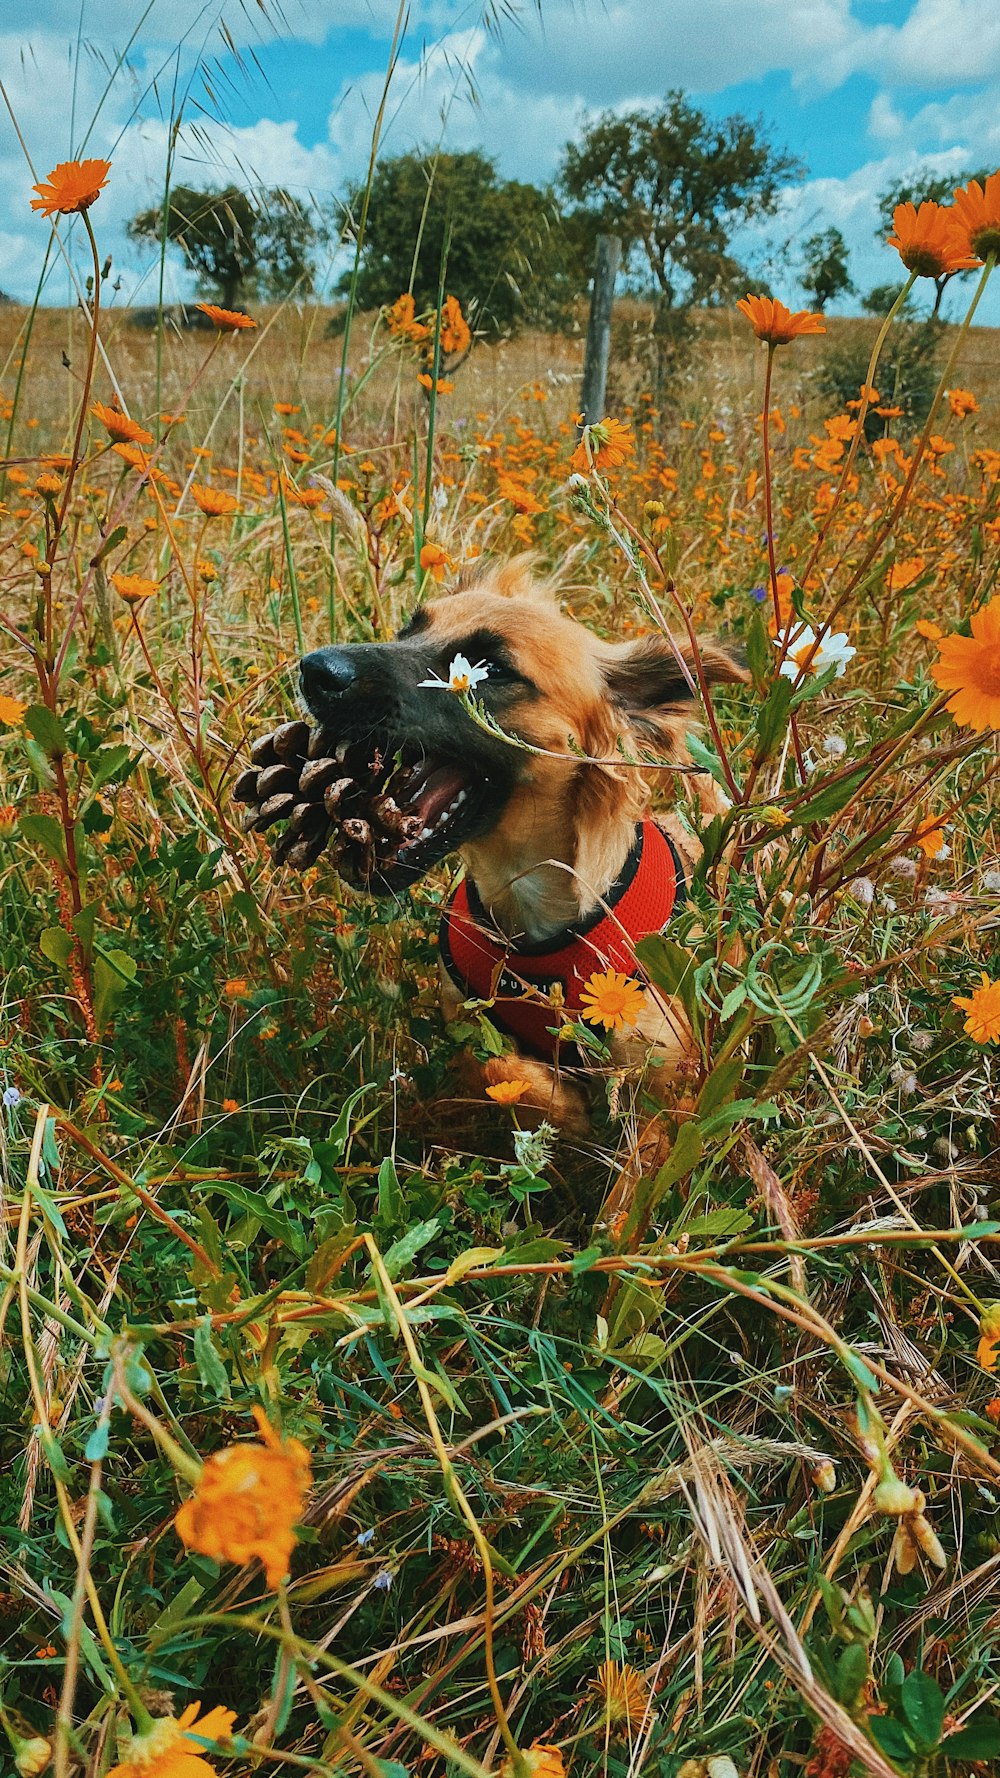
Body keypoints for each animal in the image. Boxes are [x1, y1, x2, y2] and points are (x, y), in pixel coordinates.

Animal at [298, 561, 743, 1152]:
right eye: (409, 629)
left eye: (492, 669)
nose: (314, 670)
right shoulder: (464, 1013)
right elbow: (490, 1065)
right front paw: (557, 1107)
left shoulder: (665, 1087)